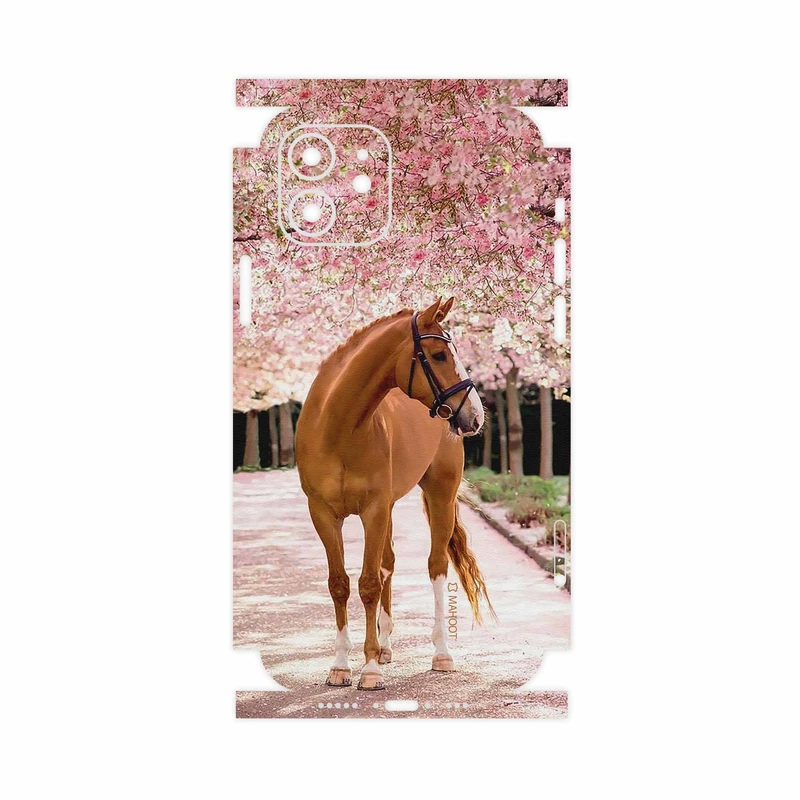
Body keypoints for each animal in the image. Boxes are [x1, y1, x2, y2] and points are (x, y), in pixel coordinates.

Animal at [295, 297, 494, 690]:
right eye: (438, 355)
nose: (476, 416)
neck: (338, 428)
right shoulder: (324, 514)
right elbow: (340, 584)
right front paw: (341, 666)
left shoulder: (373, 510)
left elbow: (369, 584)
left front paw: (369, 670)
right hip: (388, 508)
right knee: (388, 563)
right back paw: (385, 646)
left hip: (439, 494)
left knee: (435, 566)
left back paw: (441, 653)